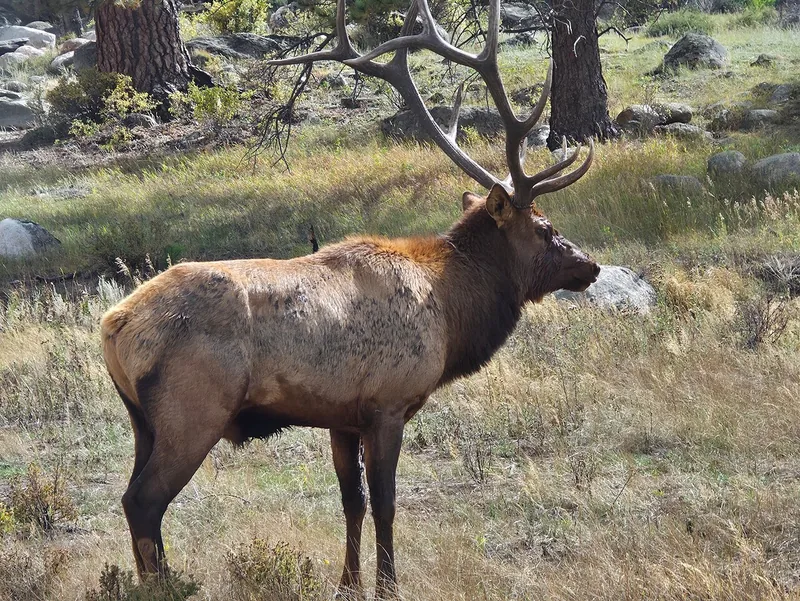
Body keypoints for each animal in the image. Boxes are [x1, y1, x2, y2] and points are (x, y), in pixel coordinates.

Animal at [100, 0, 600, 598]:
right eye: (545, 228)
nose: (590, 266)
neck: (452, 311)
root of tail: (113, 326)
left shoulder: (341, 416)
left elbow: (351, 503)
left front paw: (348, 583)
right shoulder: (388, 403)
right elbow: (385, 503)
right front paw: (388, 585)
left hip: (142, 422)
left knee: (133, 500)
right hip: (192, 411)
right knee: (143, 501)